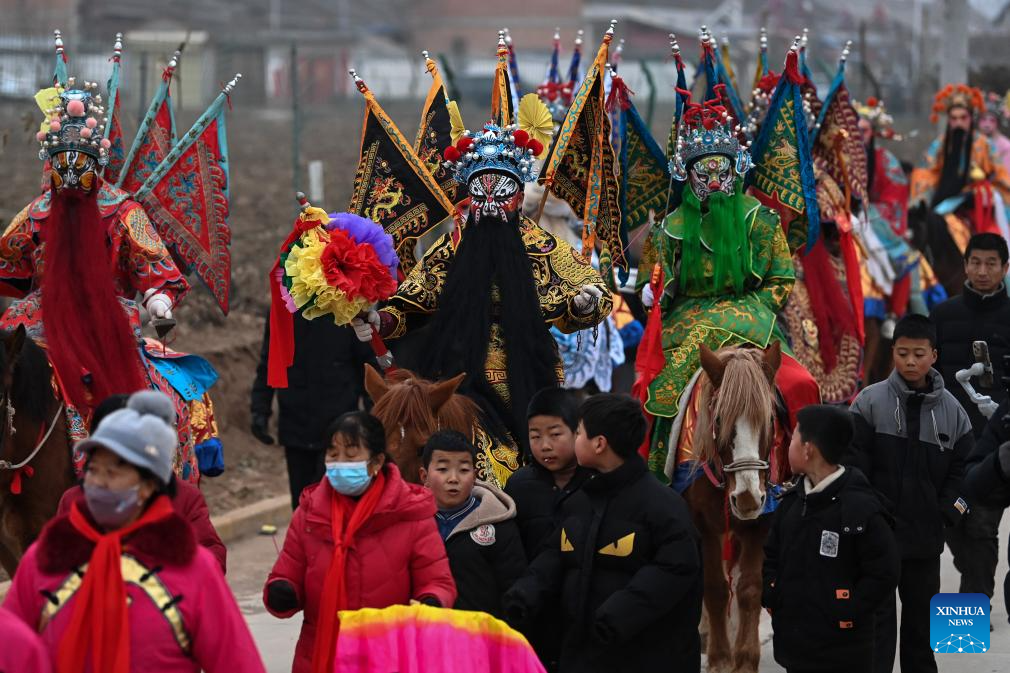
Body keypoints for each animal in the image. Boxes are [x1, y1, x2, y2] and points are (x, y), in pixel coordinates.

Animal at [678, 343, 779, 670]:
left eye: (769, 420)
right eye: (719, 419)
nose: (747, 497)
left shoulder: (763, 521)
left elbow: (749, 589)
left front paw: (745, 658)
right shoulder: (703, 523)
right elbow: (715, 587)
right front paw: (720, 657)